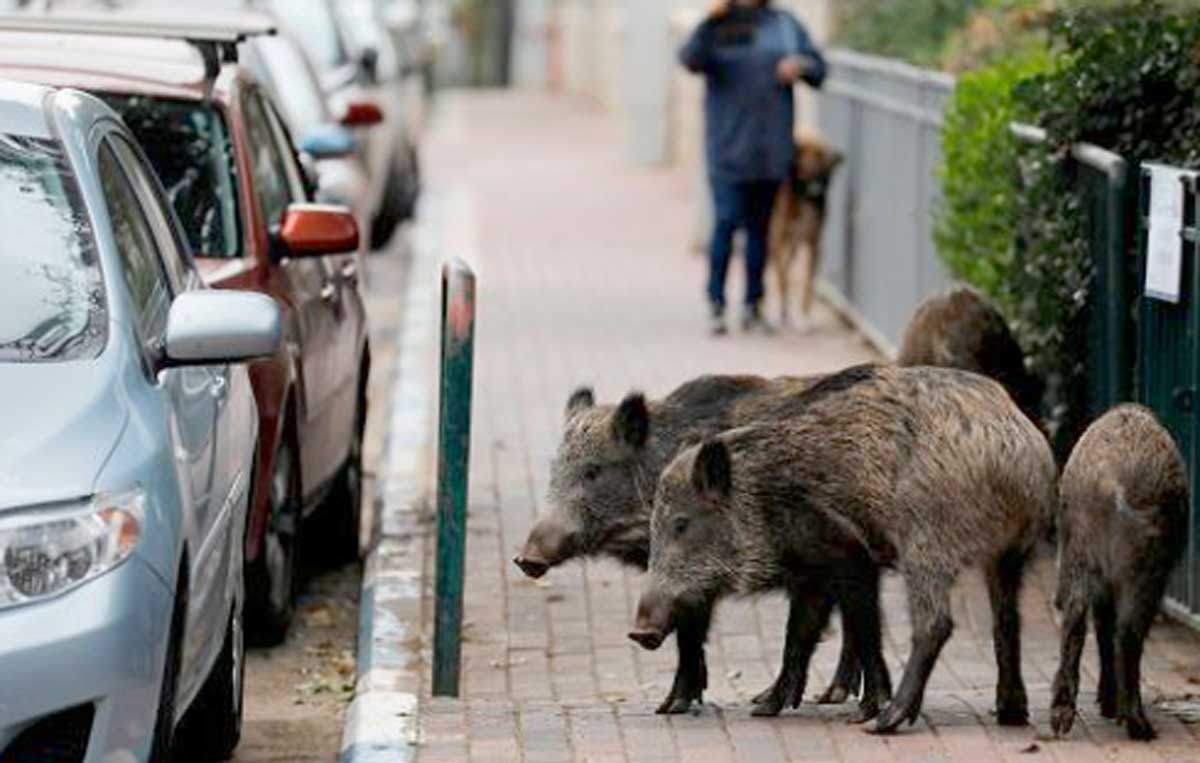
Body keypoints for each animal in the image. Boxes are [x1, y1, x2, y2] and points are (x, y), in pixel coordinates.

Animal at [768, 131, 844, 321]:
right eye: (816, 153)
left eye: (822, 153)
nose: (839, 155)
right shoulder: (777, 240)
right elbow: (782, 277)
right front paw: (782, 308)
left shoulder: (814, 245)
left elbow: (808, 283)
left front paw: (803, 314)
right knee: (778, 270)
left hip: (795, 245)